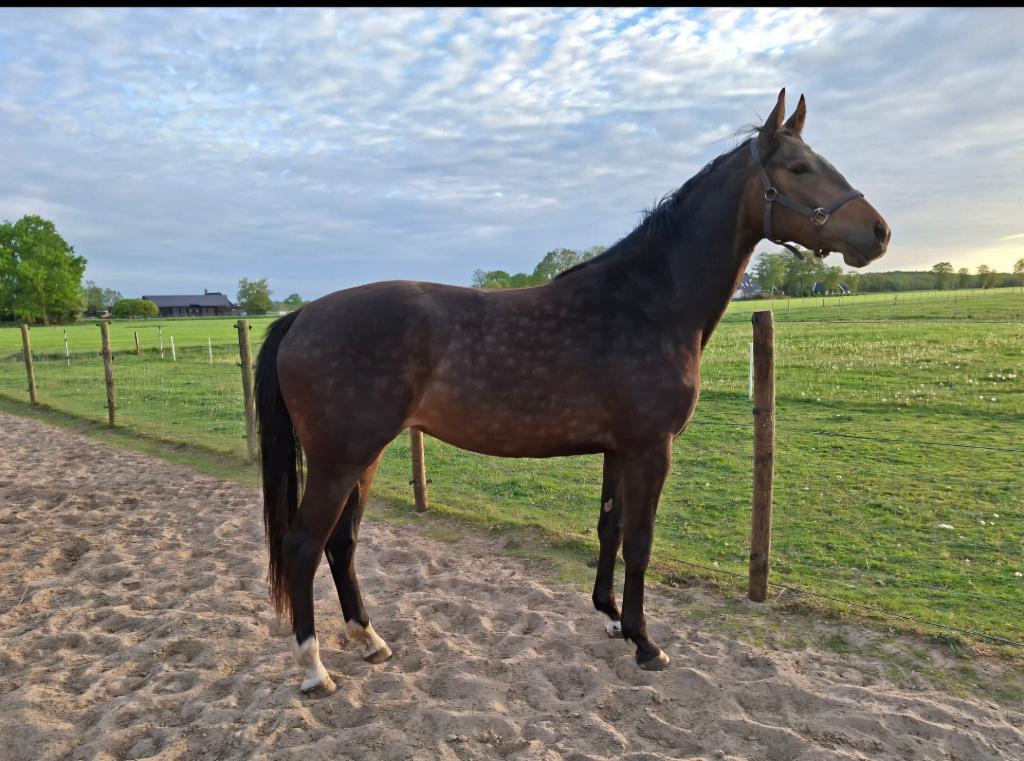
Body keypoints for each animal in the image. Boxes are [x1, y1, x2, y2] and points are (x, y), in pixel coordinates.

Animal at [254, 89, 890, 696]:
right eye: (799, 168)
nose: (880, 233)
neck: (650, 301)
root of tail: (302, 316)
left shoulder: (618, 449)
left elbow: (610, 529)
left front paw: (610, 617)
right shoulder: (650, 448)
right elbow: (640, 540)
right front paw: (645, 642)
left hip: (363, 458)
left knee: (342, 543)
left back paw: (369, 640)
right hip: (340, 461)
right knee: (305, 545)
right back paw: (314, 669)